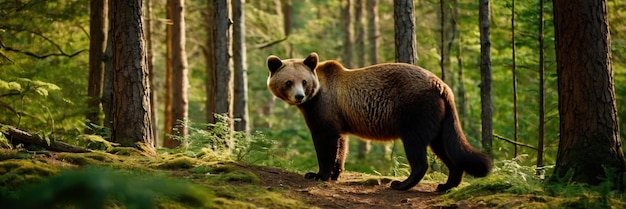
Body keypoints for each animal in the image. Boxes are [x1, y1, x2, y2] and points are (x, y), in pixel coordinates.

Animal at [266, 52, 490, 191]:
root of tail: (442, 85)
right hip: (441, 117)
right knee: (445, 145)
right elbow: (341, 144)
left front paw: (318, 173)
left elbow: (325, 142)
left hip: (416, 109)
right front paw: (336, 172)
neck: (316, 95)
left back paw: (401, 183)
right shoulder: (339, 116)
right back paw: (446, 184)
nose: (299, 96)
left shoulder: (323, 109)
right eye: (288, 82)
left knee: (416, 145)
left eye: (303, 81)